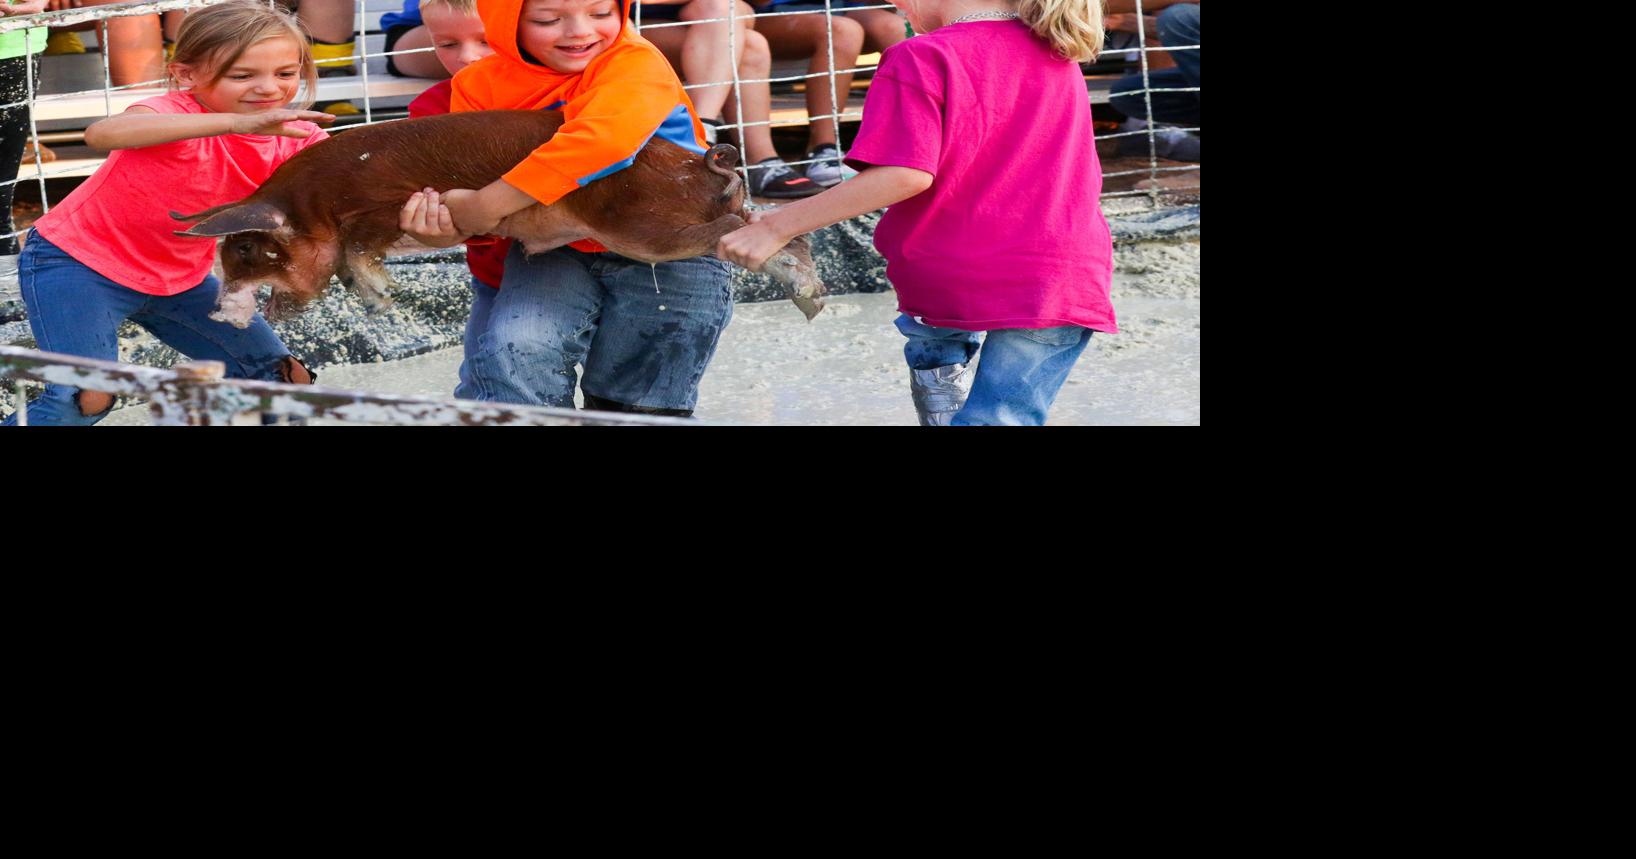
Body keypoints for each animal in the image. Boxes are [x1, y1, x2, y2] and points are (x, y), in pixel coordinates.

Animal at [172, 112, 824, 327]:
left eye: (245, 251)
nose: (217, 312)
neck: (315, 203)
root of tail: (700, 162)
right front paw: (378, 304)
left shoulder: (384, 203)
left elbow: (360, 246)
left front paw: (381, 299)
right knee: (768, 220)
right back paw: (813, 302)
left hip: (644, 226)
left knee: (736, 232)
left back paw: (811, 300)